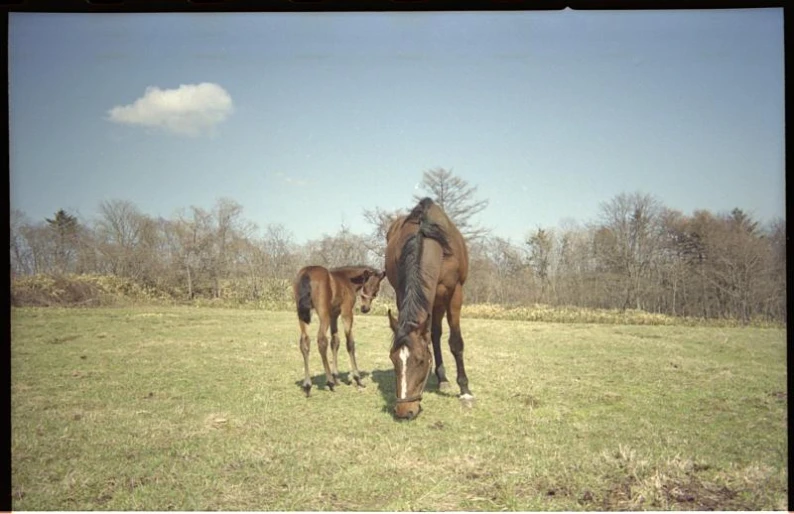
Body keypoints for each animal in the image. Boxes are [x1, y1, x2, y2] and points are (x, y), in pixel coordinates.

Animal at [294, 264, 386, 396]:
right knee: (321, 341)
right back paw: (329, 382)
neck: (346, 280)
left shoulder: (334, 314)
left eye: (375, 289)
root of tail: (307, 273)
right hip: (323, 314)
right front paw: (357, 379)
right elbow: (350, 343)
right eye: (372, 287)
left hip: (302, 315)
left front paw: (336, 377)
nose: (365, 309)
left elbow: (335, 341)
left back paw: (308, 385)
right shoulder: (346, 313)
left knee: (304, 342)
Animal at [382, 198, 470, 418]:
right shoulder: (402, 292)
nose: (404, 411)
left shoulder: (455, 293)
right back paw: (442, 378)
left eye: (421, 361)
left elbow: (456, 342)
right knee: (434, 335)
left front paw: (465, 390)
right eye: (393, 359)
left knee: (436, 334)